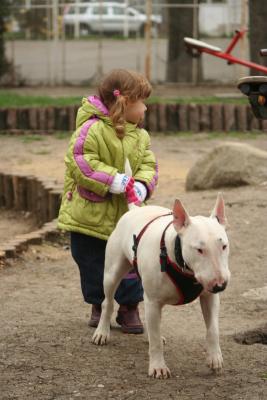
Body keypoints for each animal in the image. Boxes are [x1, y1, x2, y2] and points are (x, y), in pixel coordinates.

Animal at [92, 193, 230, 378]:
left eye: (224, 246)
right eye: (199, 250)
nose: (220, 285)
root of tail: (134, 209)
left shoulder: (210, 297)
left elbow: (213, 329)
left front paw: (215, 359)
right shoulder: (153, 301)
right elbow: (156, 341)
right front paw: (158, 367)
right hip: (112, 273)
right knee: (107, 302)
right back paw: (101, 332)